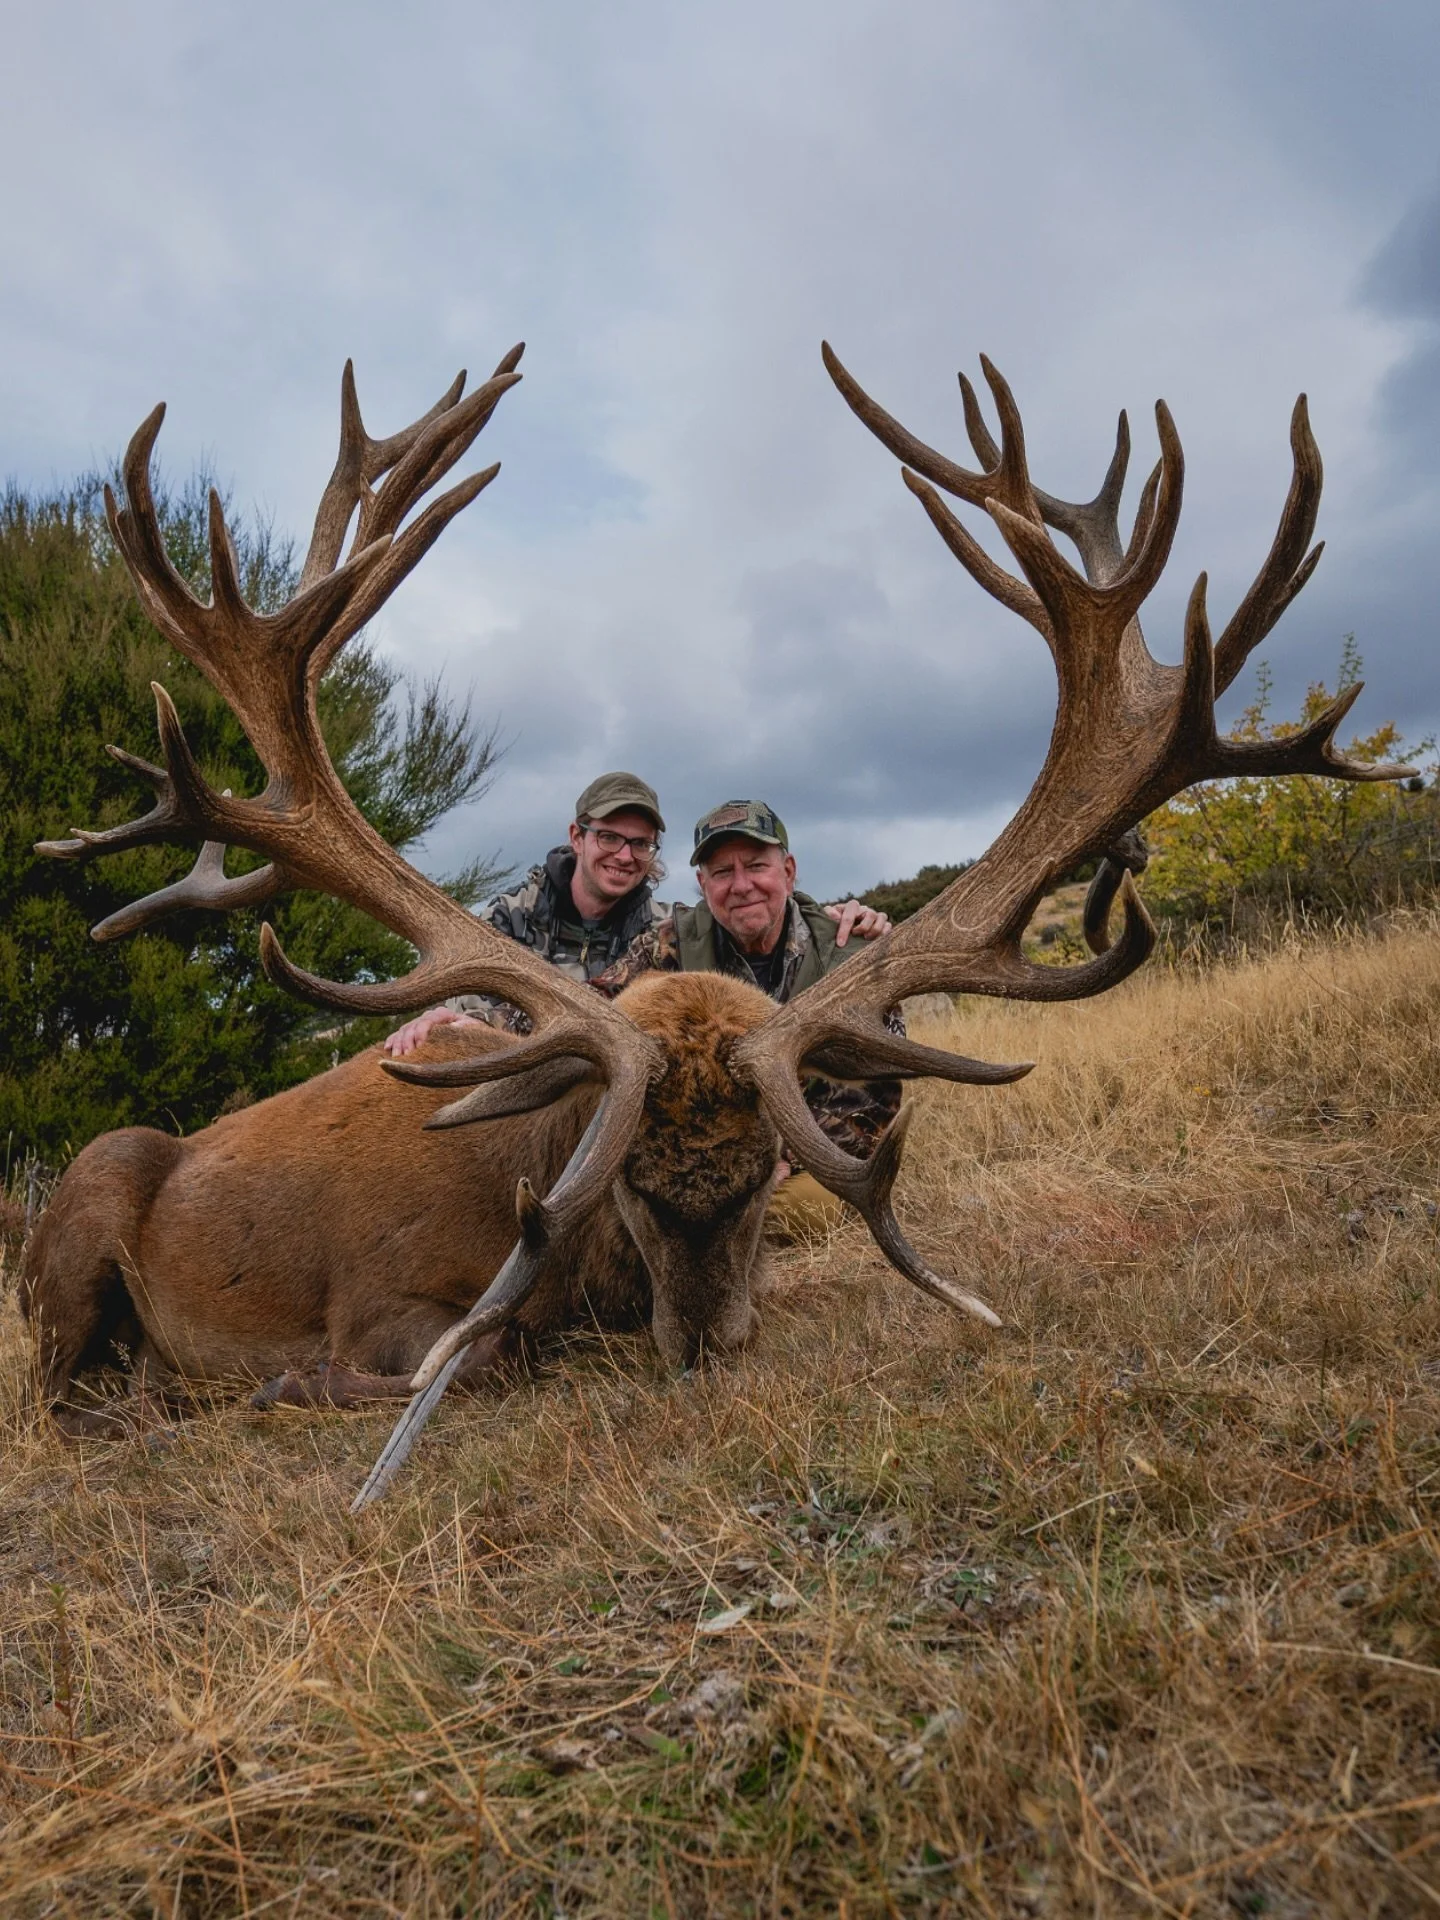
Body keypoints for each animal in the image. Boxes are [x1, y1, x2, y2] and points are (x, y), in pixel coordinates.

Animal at [22, 338, 1409, 1488]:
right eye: (629, 1187)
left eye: (757, 1183)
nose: (705, 1346)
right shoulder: (382, 1302)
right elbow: (472, 1356)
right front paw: (286, 1388)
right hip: (81, 1217)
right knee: (63, 1393)